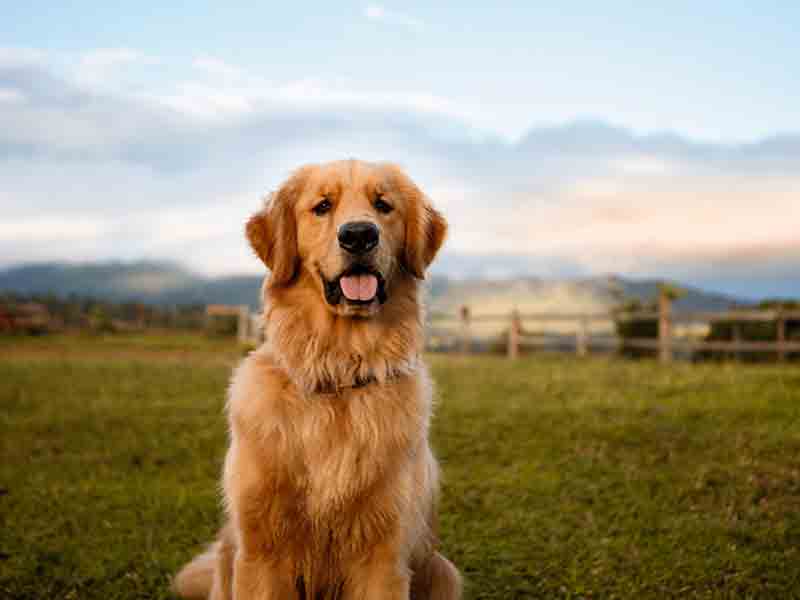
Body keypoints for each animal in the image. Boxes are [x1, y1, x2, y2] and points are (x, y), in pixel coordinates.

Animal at [174, 161, 462, 600]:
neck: (338, 372)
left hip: (443, 571)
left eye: (383, 205)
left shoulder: (384, 554)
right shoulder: (261, 551)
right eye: (322, 206)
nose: (358, 235)